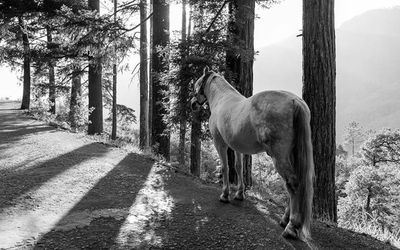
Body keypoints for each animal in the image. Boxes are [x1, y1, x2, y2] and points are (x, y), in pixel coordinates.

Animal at [189, 66, 314, 240]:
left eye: (197, 84)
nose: (193, 104)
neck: (222, 100)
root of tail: (295, 101)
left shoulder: (220, 143)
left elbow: (225, 167)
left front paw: (225, 195)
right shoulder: (236, 146)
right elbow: (238, 167)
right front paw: (239, 194)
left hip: (279, 156)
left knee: (293, 183)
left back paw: (291, 227)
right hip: (291, 155)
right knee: (294, 183)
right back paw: (284, 220)